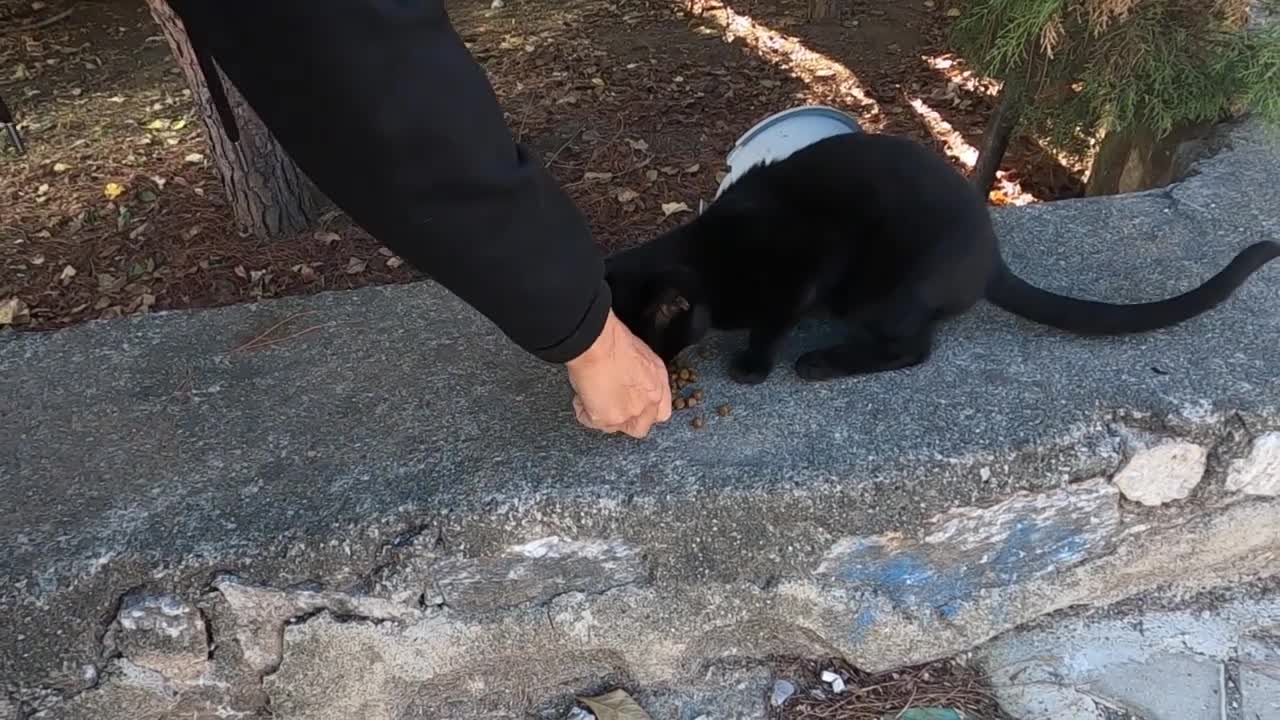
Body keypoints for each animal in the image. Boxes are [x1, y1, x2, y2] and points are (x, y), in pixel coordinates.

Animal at [604, 131, 1280, 384]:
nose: (658, 369)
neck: (711, 258)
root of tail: (990, 256)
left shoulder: (805, 267)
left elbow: (773, 321)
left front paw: (753, 364)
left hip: (880, 290)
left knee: (914, 349)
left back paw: (822, 362)